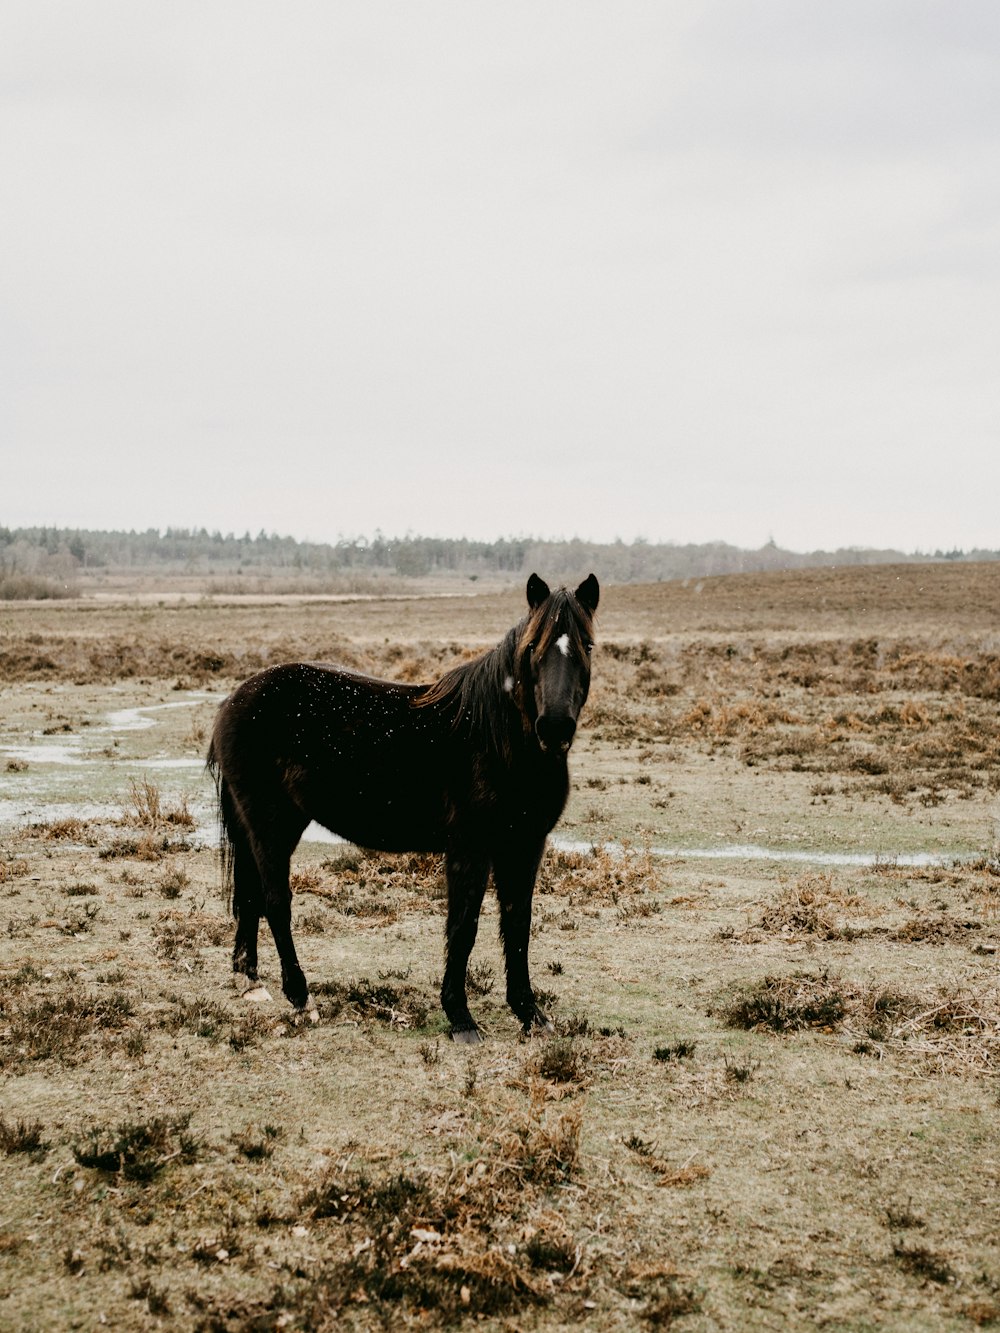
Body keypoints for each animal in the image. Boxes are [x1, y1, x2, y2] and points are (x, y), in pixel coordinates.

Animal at [202, 570, 594, 1039]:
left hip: (260, 825)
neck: (498, 740)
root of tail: (234, 700)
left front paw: (530, 1013)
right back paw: (300, 995)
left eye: (587, 646)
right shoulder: (470, 848)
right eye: (533, 647)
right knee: (276, 900)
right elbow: (464, 926)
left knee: (250, 895)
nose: (554, 728)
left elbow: (518, 924)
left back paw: (249, 978)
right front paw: (460, 1017)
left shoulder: (524, 846)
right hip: (271, 824)